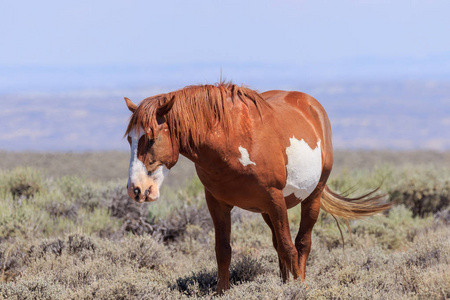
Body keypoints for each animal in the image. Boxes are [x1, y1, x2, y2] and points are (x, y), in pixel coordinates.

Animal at [123, 82, 390, 292]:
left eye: (152, 137)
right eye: (130, 139)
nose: (137, 189)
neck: (231, 140)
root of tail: (311, 105)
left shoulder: (275, 199)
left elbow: (290, 247)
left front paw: (298, 290)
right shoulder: (217, 204)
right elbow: (223, 250)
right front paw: (222, 291)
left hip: (310, 197)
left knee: (302, 243)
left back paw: (299, 281)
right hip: (265, 212)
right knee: (279, 246)